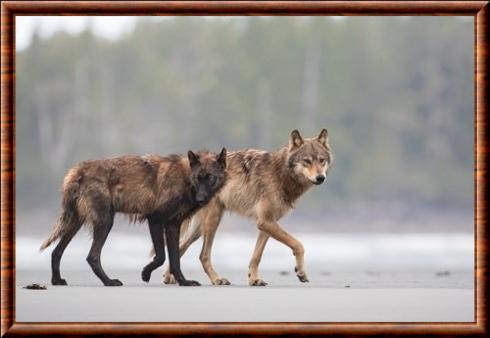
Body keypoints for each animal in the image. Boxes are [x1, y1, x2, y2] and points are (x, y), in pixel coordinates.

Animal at [40, 149, 228, 286]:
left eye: (210, 178)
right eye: (198, 178)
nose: (201, 199)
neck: (185, 178)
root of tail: (76, 170)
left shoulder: (173, 226)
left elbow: (175, 260)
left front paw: (184, 282)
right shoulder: (155, 219)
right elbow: (161, 257)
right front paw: (145, 273)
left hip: (76, 223)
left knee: (56, 252)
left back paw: (56, 280)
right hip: (105, 222)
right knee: (92, 256)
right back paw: (109, 282)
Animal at [163, 129, 334, 286]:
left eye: (321, 160)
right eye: (307, 161)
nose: (321, 177)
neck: (280, 173)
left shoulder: (267, 223)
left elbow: (256, 256)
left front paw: (254, 279)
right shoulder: (265, 222)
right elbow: (299, 245)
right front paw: (301, 272)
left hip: (199, 228)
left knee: (180, 246)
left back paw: (169, 278)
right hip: (212, 221)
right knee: (202, 255)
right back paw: (217, 279)